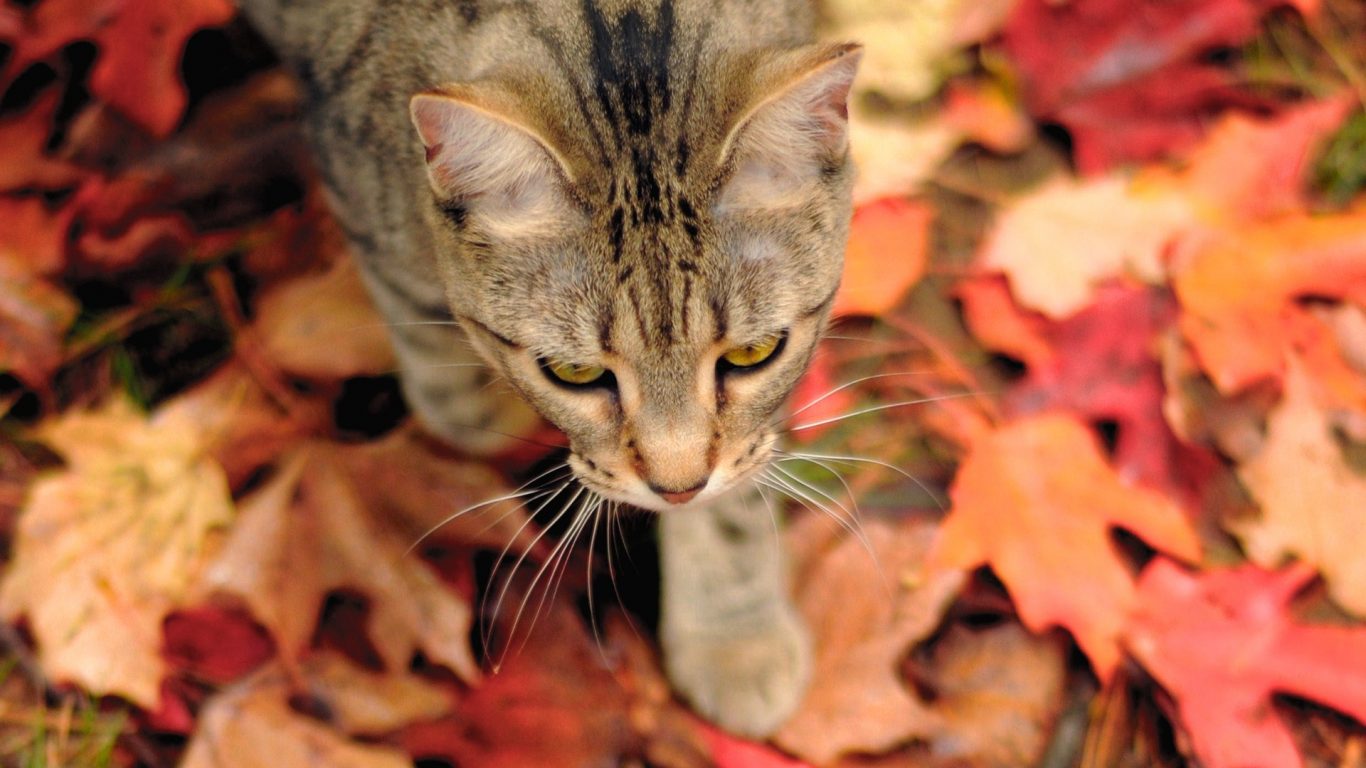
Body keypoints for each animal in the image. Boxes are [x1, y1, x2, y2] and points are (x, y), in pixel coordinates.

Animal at [230, 0, 857, 732]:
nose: (675, 489)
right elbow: (456, 397)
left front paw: (732, 635)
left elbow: (736, 486)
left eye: (751, 355)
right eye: (573, 374)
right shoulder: (371, 213)